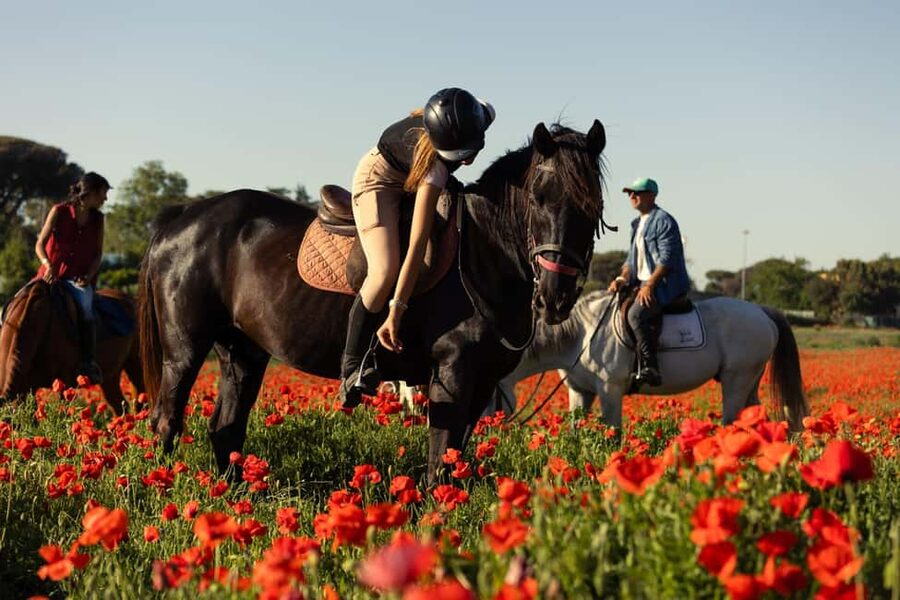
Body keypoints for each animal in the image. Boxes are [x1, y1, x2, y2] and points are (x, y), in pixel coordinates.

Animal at [139, 121, 608, 482]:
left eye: (593, 205)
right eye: (538, 198)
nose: (555, 297)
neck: (481, 252)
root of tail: (181, 216)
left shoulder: (484, 383)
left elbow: (457, 460)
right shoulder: (451, 375)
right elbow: (440, 462)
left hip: (243, 350)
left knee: (226, 429)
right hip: (184, 350)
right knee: (167, 421)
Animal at [495, 291, 809, 430]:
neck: (581, 335)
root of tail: (762, 311)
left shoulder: (610, 390)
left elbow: (613, 434)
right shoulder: (579, 391)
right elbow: (574, 430)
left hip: (737, 380)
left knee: (732, 420)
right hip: (750, 380)